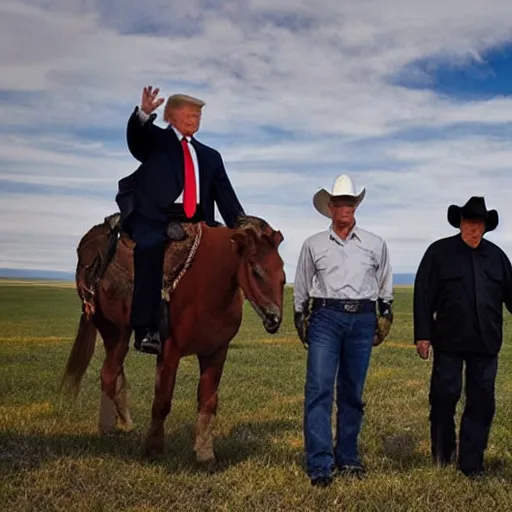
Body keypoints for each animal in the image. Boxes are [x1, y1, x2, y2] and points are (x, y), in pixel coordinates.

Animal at [62, 214, 286, 462]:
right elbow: (162, 401)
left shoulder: (216, 352)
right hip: (116, 333)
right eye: (256, 272)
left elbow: (208, 401)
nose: (275, 318)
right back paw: (108, 430)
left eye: (283, 276)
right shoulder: (170, 351)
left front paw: (205, 453)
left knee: (115, 373)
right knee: (109, 374)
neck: (207, 285)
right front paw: (153, 449)